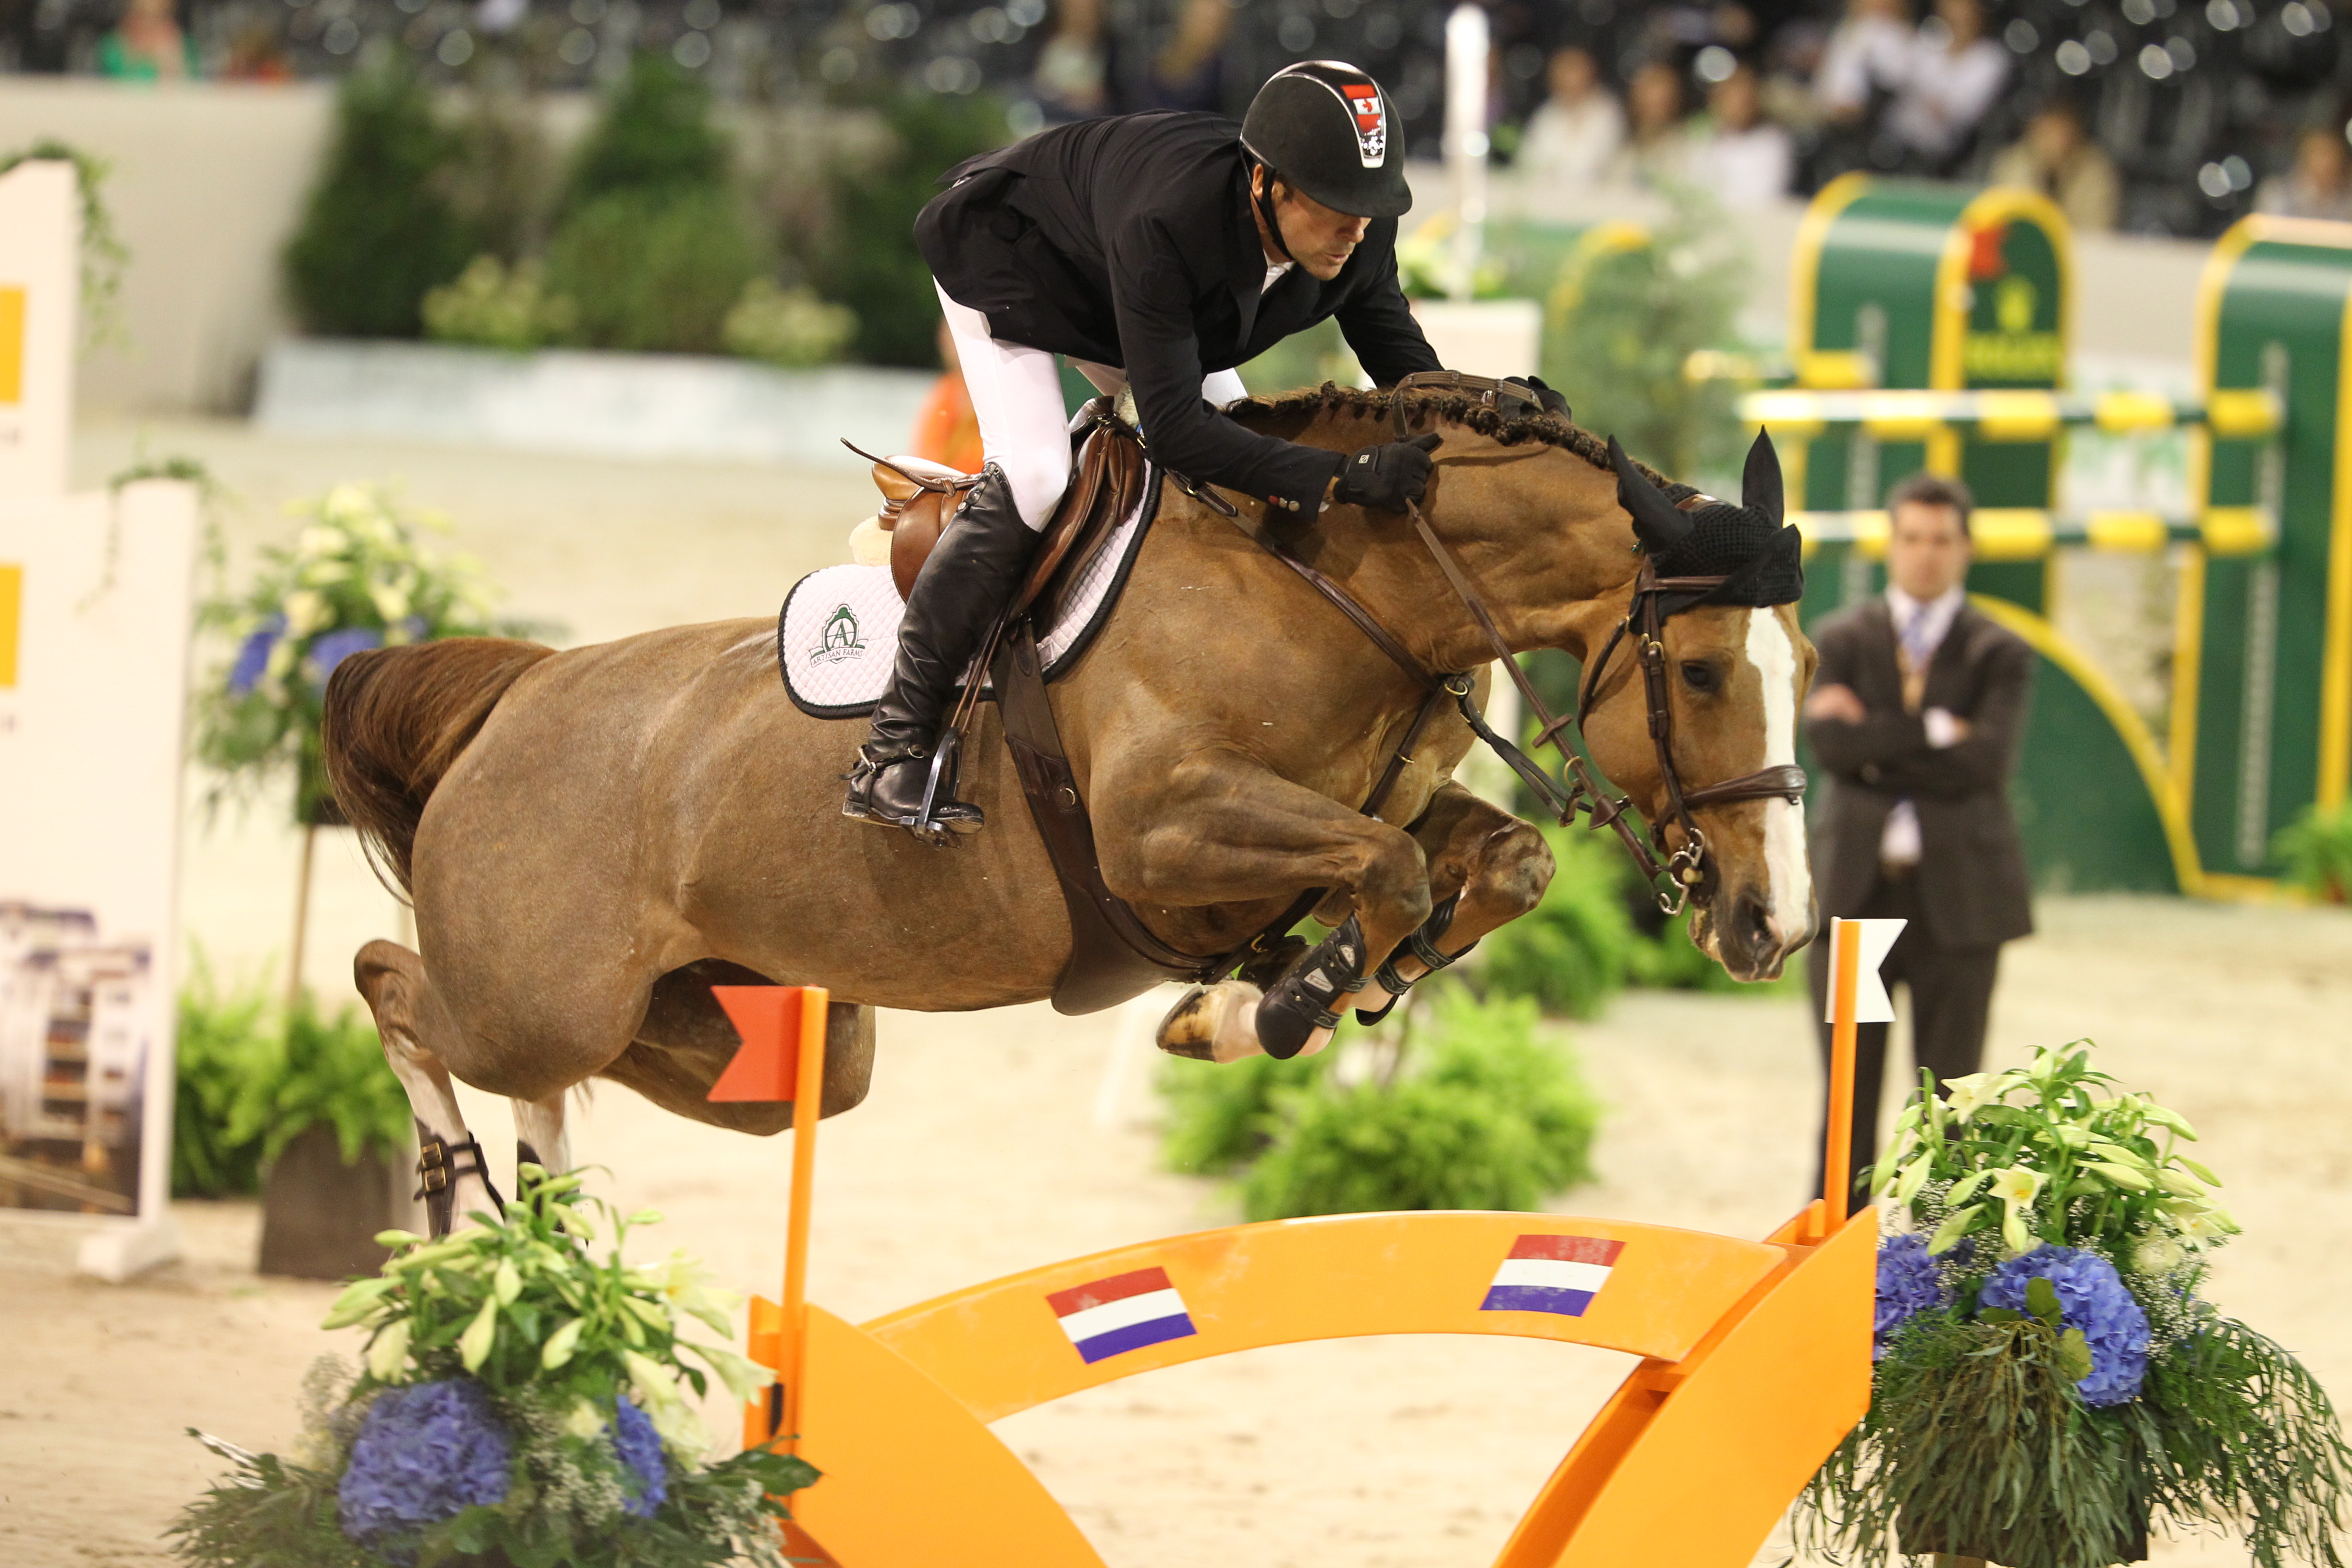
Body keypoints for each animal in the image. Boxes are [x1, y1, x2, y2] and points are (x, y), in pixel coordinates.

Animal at [322, 385, 1818, 1233]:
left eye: (1805, 668)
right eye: (1700, 671)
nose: (1776, 925)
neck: (1349, 586)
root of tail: (517, 696)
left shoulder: (1363, 809)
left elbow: (1492, 862)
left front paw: (1302, 991)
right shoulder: (1162, 833)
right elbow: (1388, 874)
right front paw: (1268, 1007)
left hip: (751, 1038)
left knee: (546, 1073)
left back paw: (540, 1228)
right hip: (545, 991)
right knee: (395, 981)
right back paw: (462, 1197)